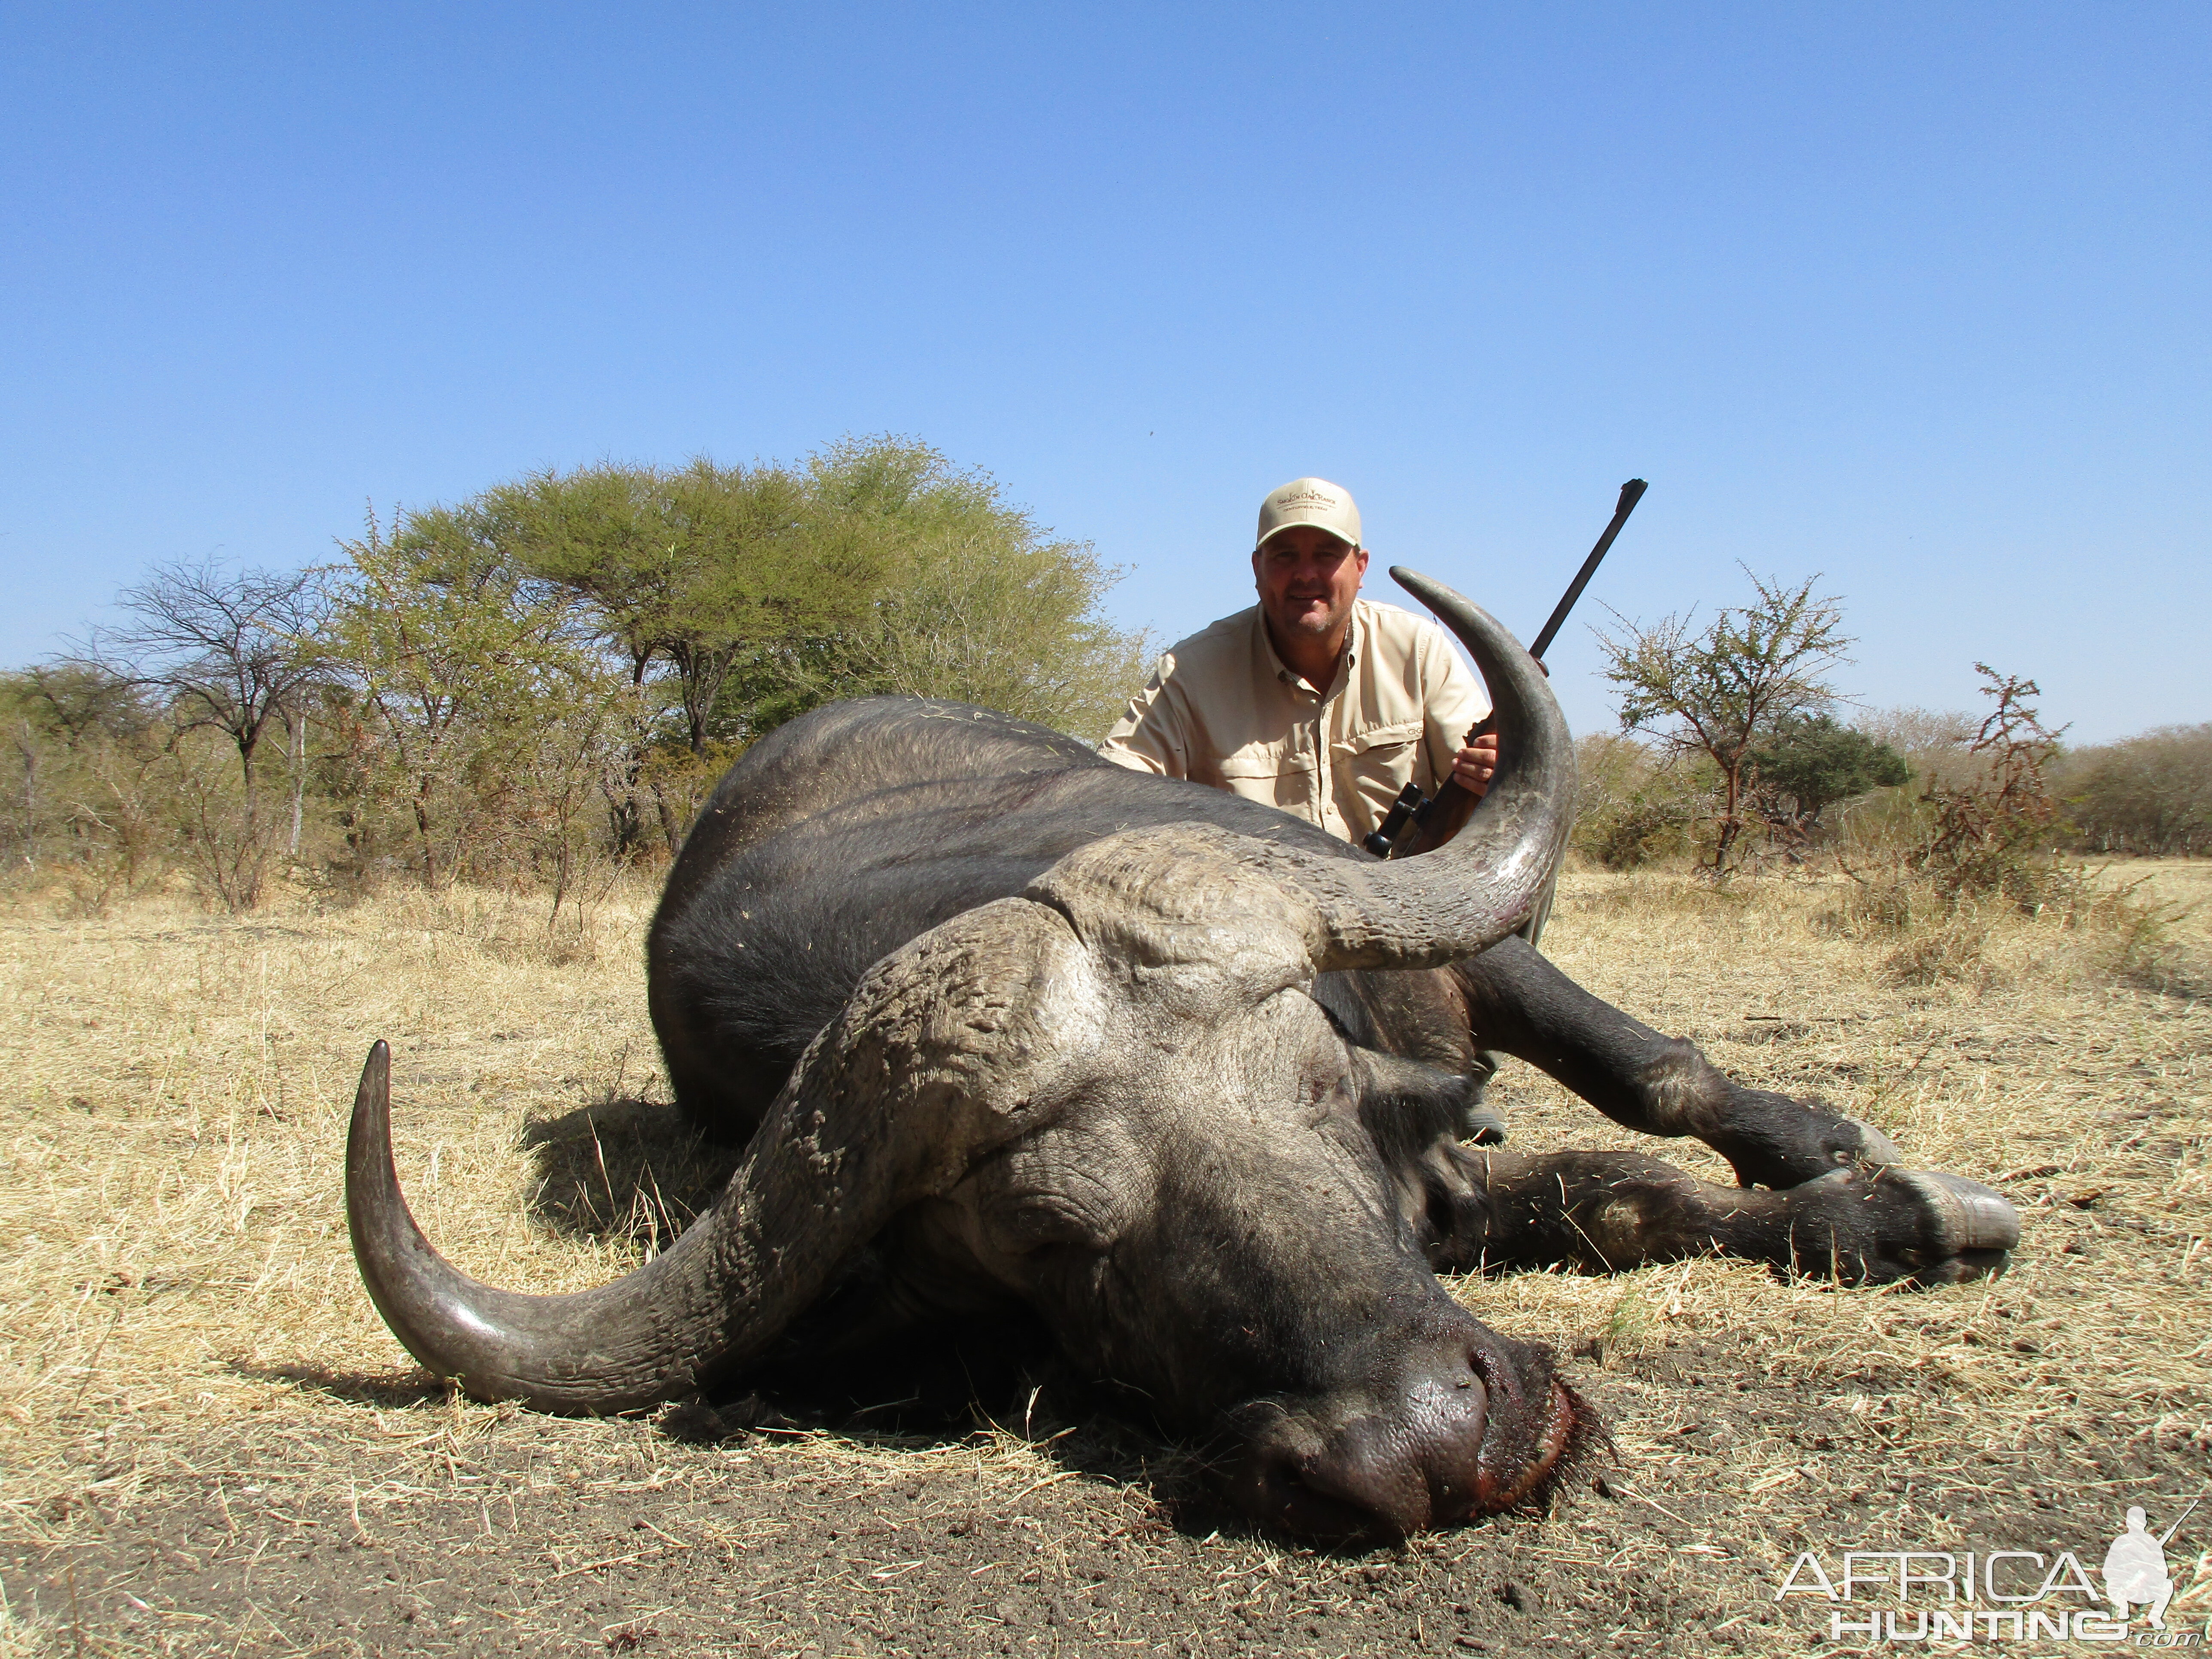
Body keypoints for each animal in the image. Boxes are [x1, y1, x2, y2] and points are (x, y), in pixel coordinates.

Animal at [345, 571, 2026, 1548]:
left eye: (1321, 1098)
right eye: (1054, 1240)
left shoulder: (1454, 956)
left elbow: (1652, 1101)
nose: (1429, 1444)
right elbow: (1607, 1196)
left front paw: (1891, 1198)